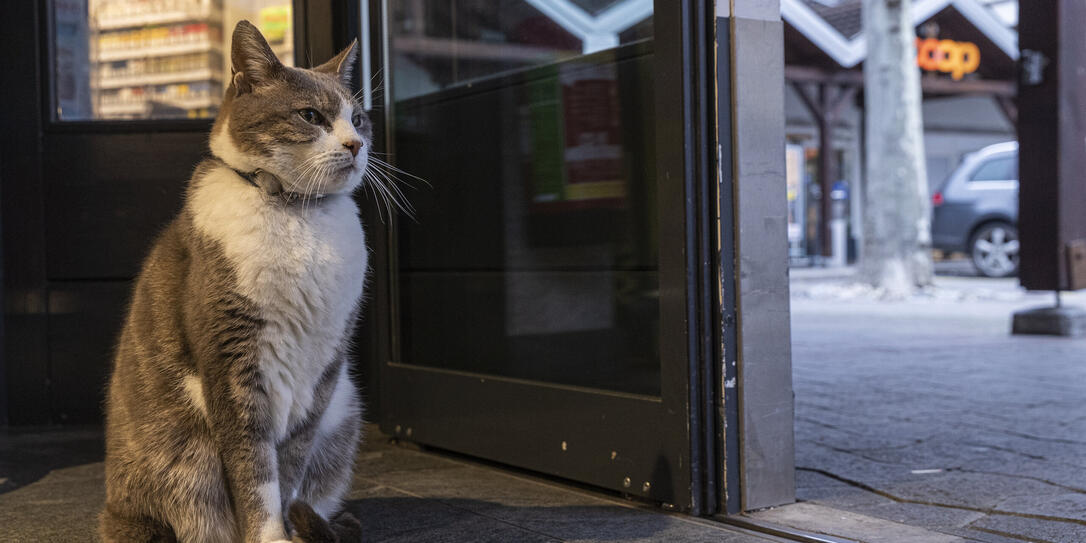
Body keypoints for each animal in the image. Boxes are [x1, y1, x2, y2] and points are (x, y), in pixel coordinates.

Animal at [102, 21, 373, 543]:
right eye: (311, 116)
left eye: (360, 119)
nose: (356, 144)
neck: (298, 213)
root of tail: (112, 511)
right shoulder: (233, 364)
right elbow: (254, 471)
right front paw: (271, 536)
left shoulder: (323, 372)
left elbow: (289, 470)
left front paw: (292, 527)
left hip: (344, 407)